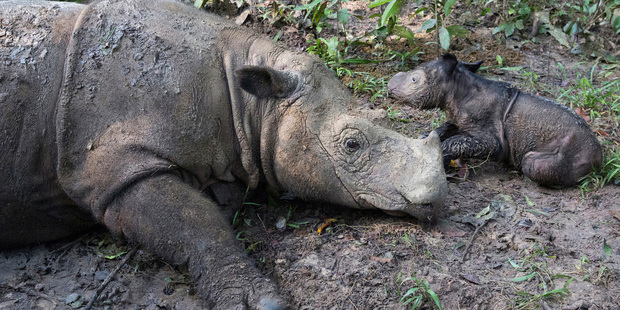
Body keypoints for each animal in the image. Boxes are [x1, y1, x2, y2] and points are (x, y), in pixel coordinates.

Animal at [388, 54, 600, 186]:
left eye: (414, 80)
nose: (389, 87)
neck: (457, 88)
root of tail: (600, 157)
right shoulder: (460, 120)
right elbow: (446, 128)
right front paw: (424, 139)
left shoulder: (494, 141)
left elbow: (455, 142)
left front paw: (439, 158)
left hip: (571, 153)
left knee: (531, 164)